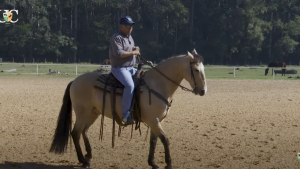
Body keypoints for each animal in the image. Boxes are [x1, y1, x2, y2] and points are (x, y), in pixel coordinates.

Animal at [49, 49, 206, 169]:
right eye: (196, 70)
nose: (203, 91)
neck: (157, 84)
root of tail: (74, 81)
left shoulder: (155, 121)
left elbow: (154, 141)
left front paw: (153, 163)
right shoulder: (153, 120)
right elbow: (165, 139)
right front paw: (168, 164)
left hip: (93, 113)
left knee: (83, 131)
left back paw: (88, 156)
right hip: (83, 113)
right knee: (75, 133)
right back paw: (83, 160)